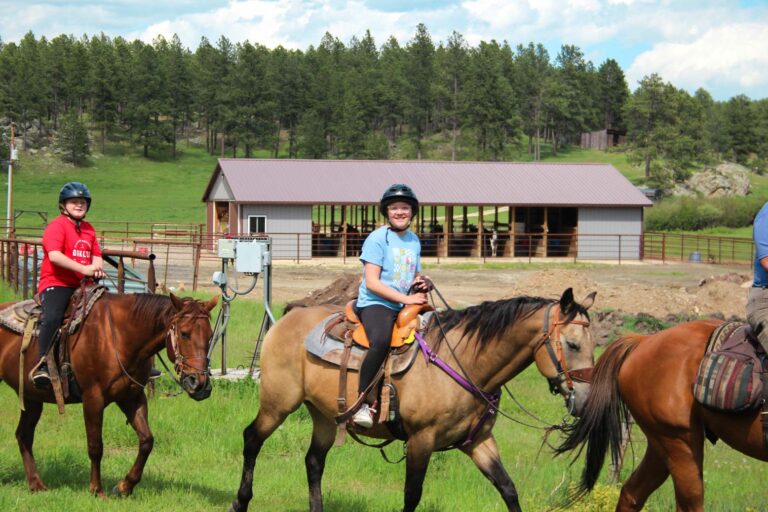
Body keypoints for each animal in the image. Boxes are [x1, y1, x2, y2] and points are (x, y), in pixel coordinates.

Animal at [0, 292, 217, 496]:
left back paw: (36, 485)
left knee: (24, 435)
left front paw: (124, 486)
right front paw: (96, 489)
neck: (119, 337)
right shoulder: (93, 399)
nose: (199, 384)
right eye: (184, 333)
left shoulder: (132, 397)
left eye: (210, 336)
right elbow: (95, 446)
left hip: (32, 399)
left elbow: (147, 440)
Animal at [229, 288, 596, 512]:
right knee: (252, 439)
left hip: (323, 415)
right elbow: (412, 495)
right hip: (278, 404)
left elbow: (508, 488)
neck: (467, 362)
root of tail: (291, 314)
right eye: (573, 344)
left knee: (314, 461)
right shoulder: (421, 440)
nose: (584, 401)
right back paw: (240, 501)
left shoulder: (479, 441)